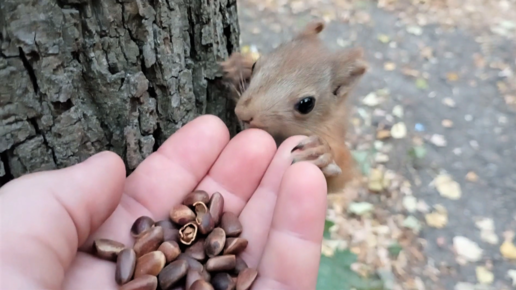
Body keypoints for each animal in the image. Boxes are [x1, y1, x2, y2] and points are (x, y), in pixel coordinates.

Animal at [220, 19, 368, 193]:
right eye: (255, 65)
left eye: (307, 104)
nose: (242, 113)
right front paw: (238, 65)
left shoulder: (334, 134)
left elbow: (339, 179)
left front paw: (321, 152)